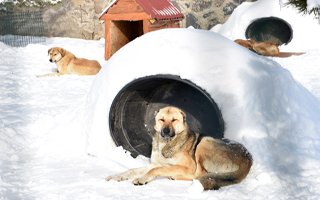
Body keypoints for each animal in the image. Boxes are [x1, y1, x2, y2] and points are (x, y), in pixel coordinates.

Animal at [106, 105, 254, 190]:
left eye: (174, 120)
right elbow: (132, 170)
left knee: (199, 175)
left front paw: (142, 179)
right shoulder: (154, 164)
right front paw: (117, 176)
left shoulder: (187, 166)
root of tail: (248, 158)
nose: (166, 131)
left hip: (204, 143)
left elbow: (157, 170)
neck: (167, 143)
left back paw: (174, 176)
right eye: (162, 119)